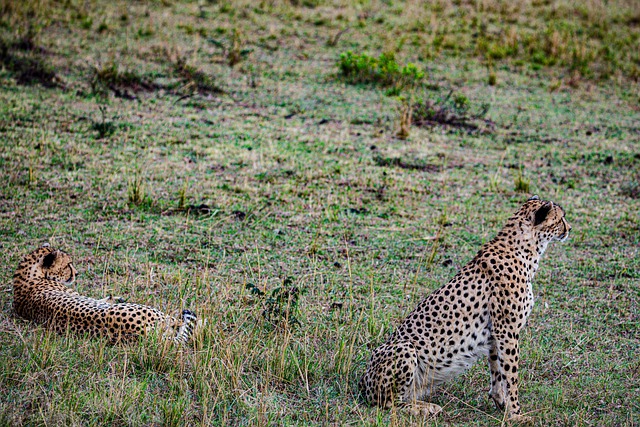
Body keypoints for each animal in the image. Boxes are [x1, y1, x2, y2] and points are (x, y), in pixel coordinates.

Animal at [13, 244, 198, 344]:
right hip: (158, 314)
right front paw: (114, 298)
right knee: (183, 323)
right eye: (68, 265)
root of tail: (141, 332)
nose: (77, 273)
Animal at [358, 196, 572, 422]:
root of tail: (363, 381)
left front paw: (502, 403)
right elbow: (511, 376)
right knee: (388, 403)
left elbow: (497, 371)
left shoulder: (496, 333)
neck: (524, 248)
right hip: (405, 348)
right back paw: (425, 408)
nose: (569, 228)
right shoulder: (507, 331)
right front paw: (516, 415)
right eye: (561, 218)